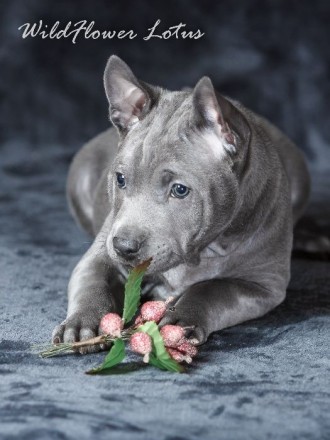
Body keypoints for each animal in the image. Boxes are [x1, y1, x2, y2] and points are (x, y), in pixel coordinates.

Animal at [51, 55, 310, 352]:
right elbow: (93, 281)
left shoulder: (263, 285)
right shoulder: (99, 254)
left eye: (180, 190)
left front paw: (181, 319)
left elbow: (214, 289)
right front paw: (83, 322)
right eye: (120, 179)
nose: (124, 247)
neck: (203, 250)